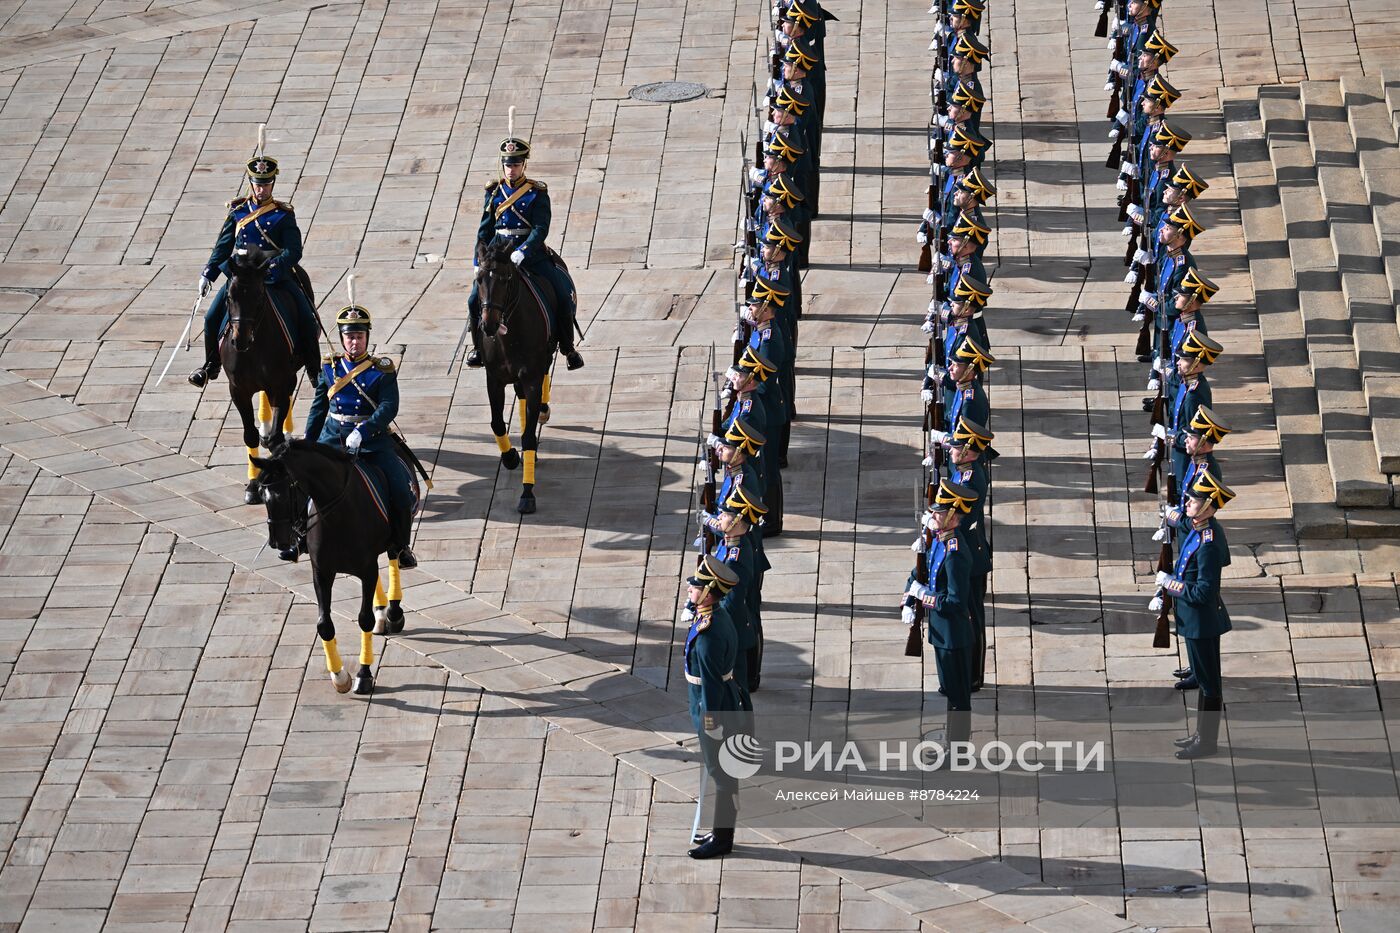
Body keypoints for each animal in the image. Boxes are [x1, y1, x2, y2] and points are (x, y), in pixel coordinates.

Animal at [225, 240, 313, 501]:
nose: (240, 340)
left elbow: (277, 439)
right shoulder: (238, 390)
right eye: (229, 296)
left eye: (258, 295)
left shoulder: (280, 383)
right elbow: (250, 434)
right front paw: (253, 484)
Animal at [250, 439, 406, 694]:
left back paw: (392, 612)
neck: (338, 514)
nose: (277, 542)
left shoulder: (366, 569)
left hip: (395, 532)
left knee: (396, 557)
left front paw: (363, 675)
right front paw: (339, 676)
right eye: (262, 495)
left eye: (282, 495)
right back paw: (382, 610)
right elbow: (324, 625)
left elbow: (364, 619)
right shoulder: (322, 571)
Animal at [476, 239, 551, 512]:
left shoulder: (532, 379)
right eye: (479, 279)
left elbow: (528, 436)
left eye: (505, 279)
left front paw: (527, 492)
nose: (488, 325)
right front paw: (509, 457)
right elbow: (497, 422)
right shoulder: (494, 379)